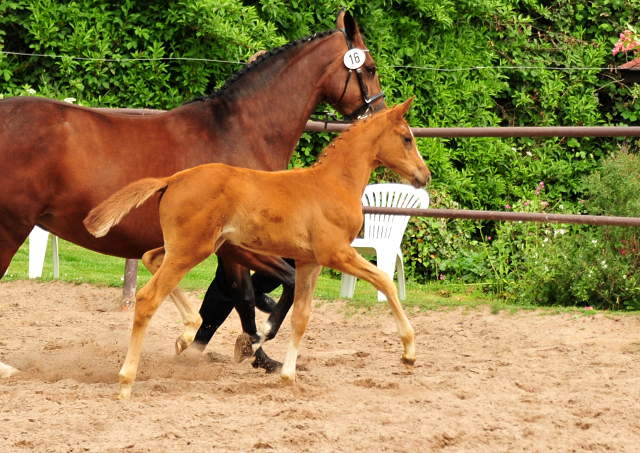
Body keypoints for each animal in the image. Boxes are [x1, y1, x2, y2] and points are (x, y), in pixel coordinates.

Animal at [0, 11, 382, 374]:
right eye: (371, 68)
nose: (379, 114)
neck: (241, 132)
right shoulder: (236, 246)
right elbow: (255, 294)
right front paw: (256, 345)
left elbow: (242, 295)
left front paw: (251, 351)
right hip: (11, 227)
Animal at [85, 97, 430, 398]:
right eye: (406, 138)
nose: (424, 176)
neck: (333, 185)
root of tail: (173, 178)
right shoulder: (336, 254)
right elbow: (385, 281)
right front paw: (409, 353)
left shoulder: (310, 261)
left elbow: (301, 316)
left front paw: (287, 376)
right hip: (192, 250)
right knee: (147, 298)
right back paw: (126, 382)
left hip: (189, 246)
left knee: (150, 257)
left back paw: (188, 331)